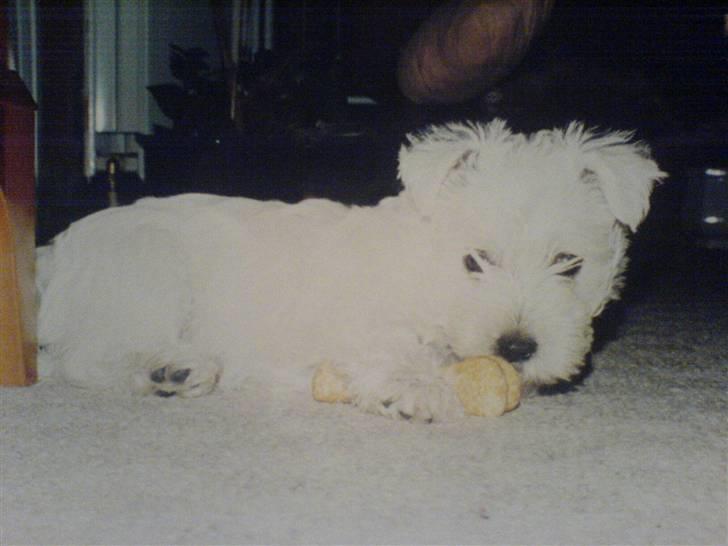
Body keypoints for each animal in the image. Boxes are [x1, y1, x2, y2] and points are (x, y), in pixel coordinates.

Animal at [38, 120, 664, 420]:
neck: (426, 271)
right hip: (154, 269)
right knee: (82, 357)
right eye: (474, 261)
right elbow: (386, 346)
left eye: (570, 263)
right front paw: (411, 388)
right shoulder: (353, 317)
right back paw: (171, 369)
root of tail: (53, 254)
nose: (515, 349)